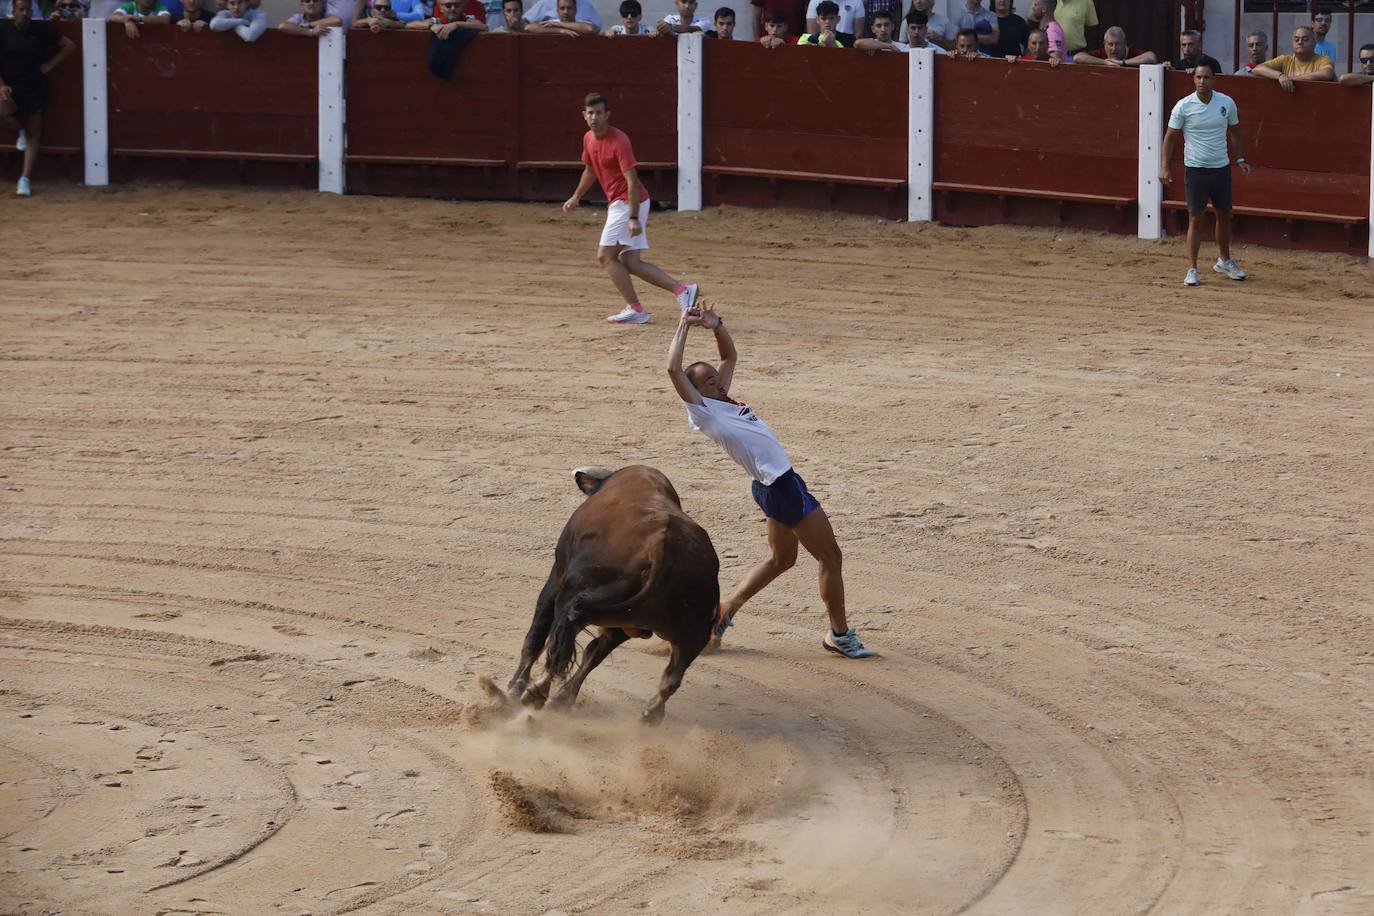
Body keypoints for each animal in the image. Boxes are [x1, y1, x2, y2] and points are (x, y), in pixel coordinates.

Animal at [502, 466, 719, 725]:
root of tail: (662, 549)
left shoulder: (557, 576)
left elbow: (538, 635)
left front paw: (514, 688)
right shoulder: (622, 623)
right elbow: (594, 652)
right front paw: (562, 698)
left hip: (575, 593)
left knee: (562, 634)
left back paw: (537, 691)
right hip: (689, 632)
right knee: (672, 676)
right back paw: (651, 713)